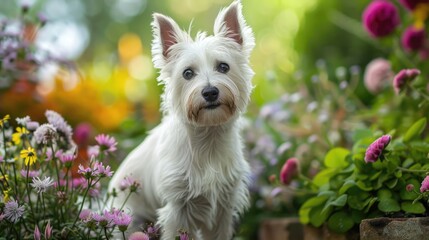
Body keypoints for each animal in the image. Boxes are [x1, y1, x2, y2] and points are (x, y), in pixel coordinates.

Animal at [108, 0, 254, 239]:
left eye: (224, 67)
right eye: (187, 73)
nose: (210, 92)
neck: (208, 138)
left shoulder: (223, 206)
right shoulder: (178, 208)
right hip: (128, 221)